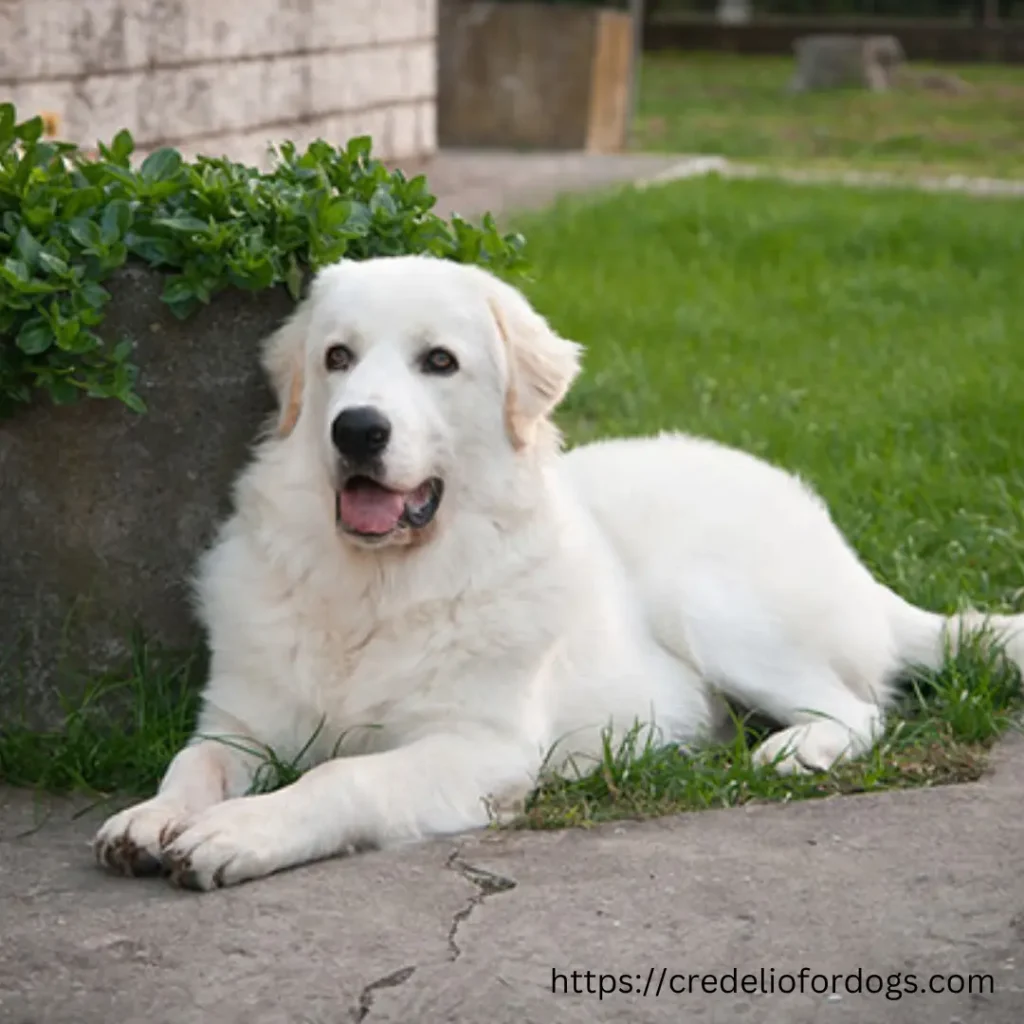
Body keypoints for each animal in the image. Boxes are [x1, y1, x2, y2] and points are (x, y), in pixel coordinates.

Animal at [92, 253, 1019, 888]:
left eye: (438, 362)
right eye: (337, 359)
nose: (355, 429)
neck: (377, 588)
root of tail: (851, 559)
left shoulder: (480, 748)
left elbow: (340, 777)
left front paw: (238, 833)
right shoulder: (239, 724)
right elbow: (193, 766)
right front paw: (151, 819)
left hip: (709, 601)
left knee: (860, 709)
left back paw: (792, 753)